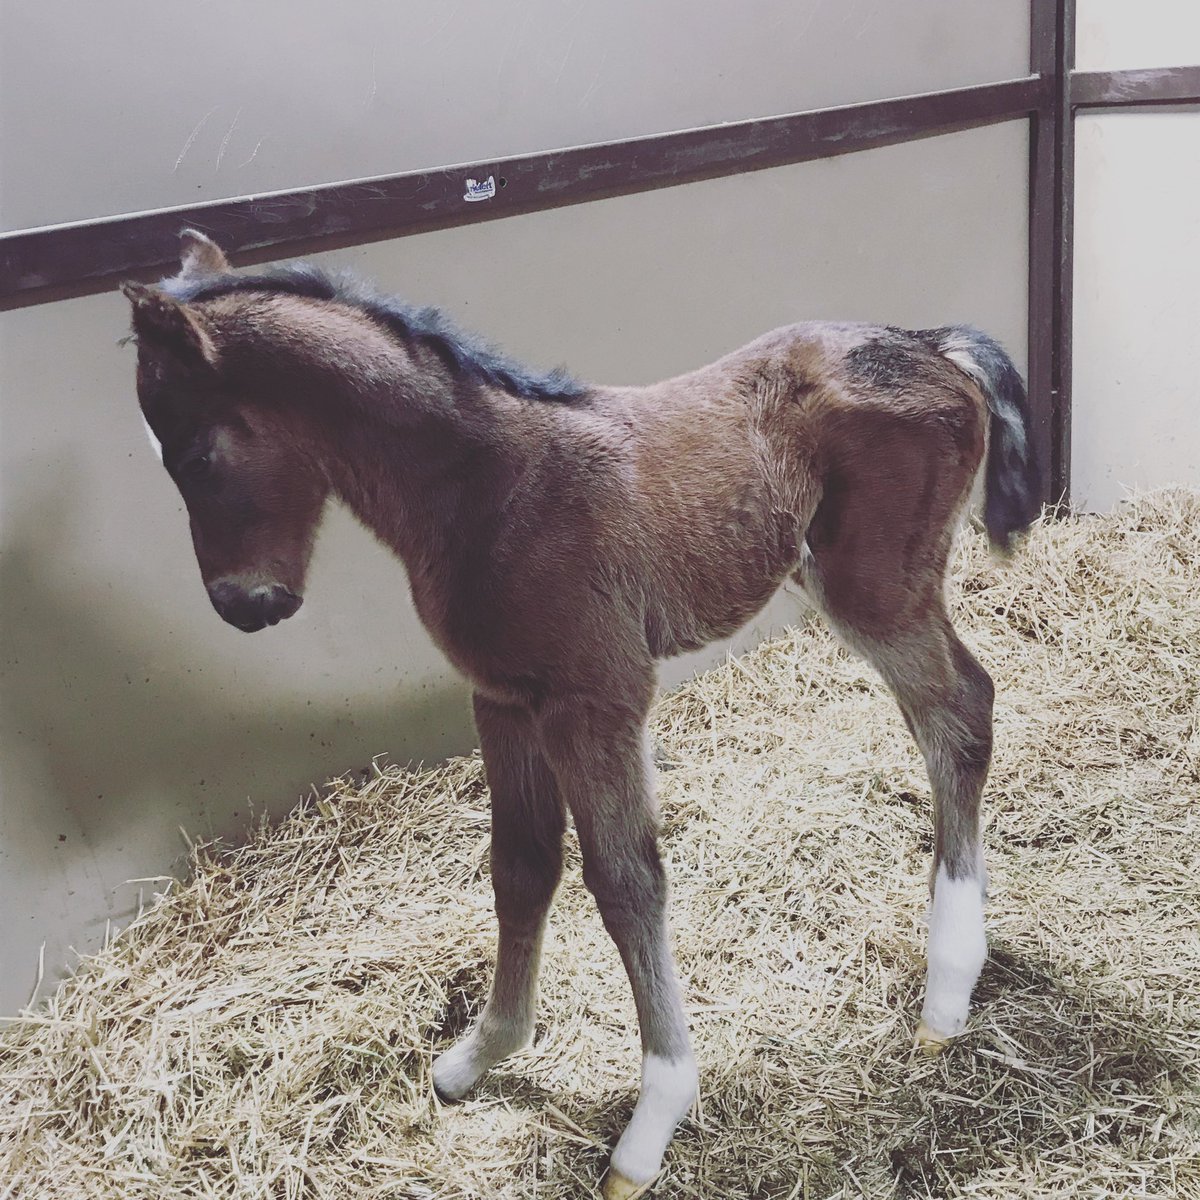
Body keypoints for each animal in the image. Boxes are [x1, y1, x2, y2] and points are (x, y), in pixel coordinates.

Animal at [122, 229, 1038, 1199]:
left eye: (195, 455)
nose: (243, 606)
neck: (490, 488)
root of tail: (931, 343)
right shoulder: (504, 698)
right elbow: (522, 868)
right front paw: (480, 1056)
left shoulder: (596, 696)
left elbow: (626, 883)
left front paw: (653, 1120)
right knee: (954, 710)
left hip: (873, 584)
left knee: (958, 710)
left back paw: (948, 988)